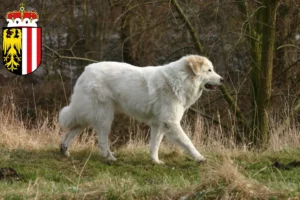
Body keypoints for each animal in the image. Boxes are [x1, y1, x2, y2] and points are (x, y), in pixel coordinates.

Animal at [59, 54, 223, 163]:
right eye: (209, 70)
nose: (222, 79)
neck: (181, 80)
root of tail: (86, 70)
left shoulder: (159, 124)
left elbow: (155, 145)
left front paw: (156, 162)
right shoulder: (171, 122)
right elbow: (187, 142)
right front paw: (199, 158)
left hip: (88, 115)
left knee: (72, 130)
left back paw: (64, 150)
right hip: (104, 117)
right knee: (102, 140)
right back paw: (110, 158)